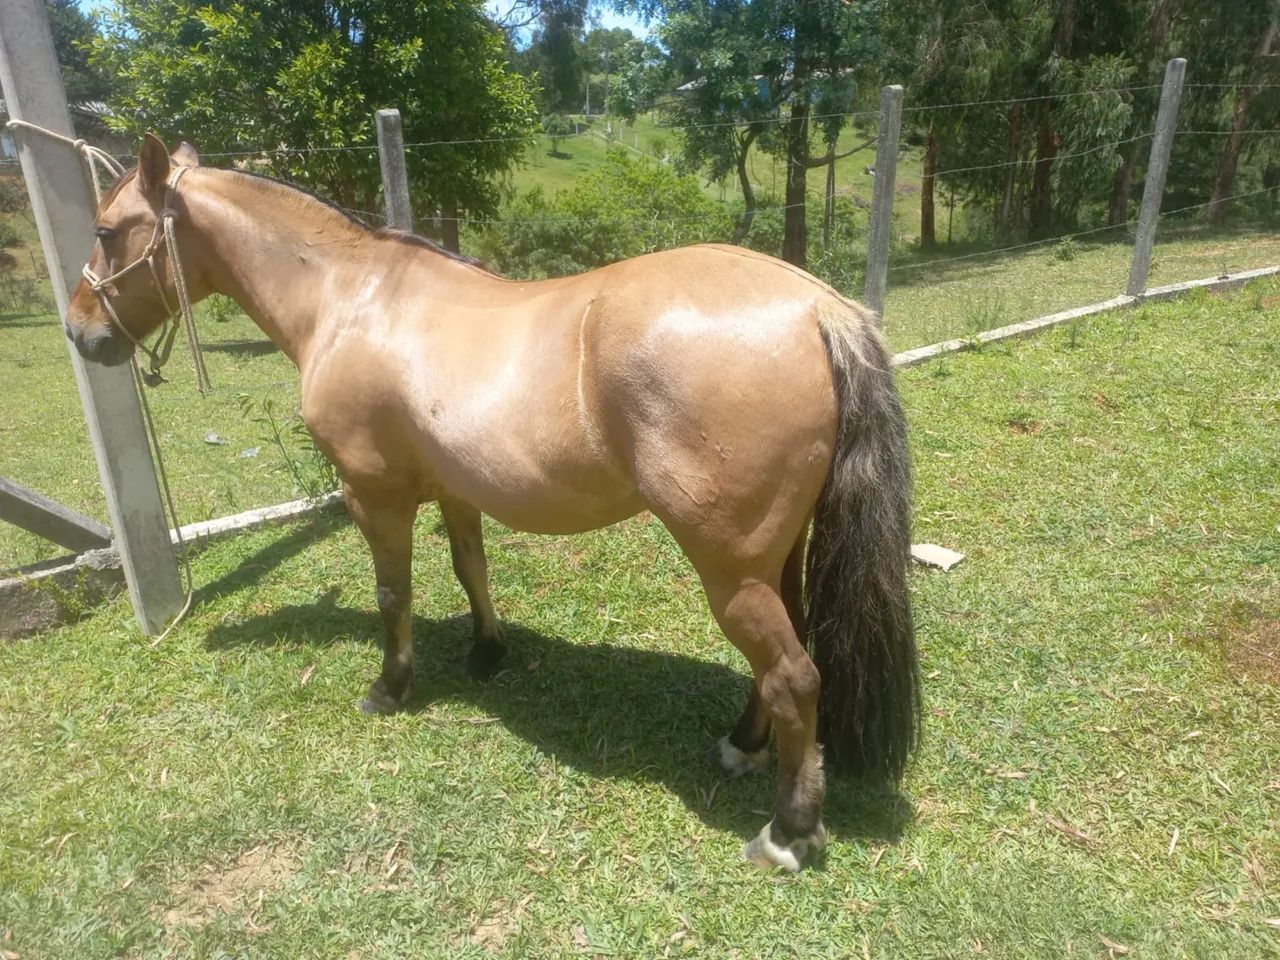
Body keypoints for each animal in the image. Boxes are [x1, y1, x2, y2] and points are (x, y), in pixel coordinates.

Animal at [64, 135, 919, 872]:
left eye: (106, 230)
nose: (79, 332)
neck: (350, 299)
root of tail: (816, 308)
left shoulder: (372, 494)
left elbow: (395, 594)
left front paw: (390, 687)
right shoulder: (454, 488)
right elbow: (470, 566)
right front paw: (486, 652)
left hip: (729, 569)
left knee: (794, 676)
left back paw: (789, 830)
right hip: (776, 555)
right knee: (784, 655)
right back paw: (742, 747)